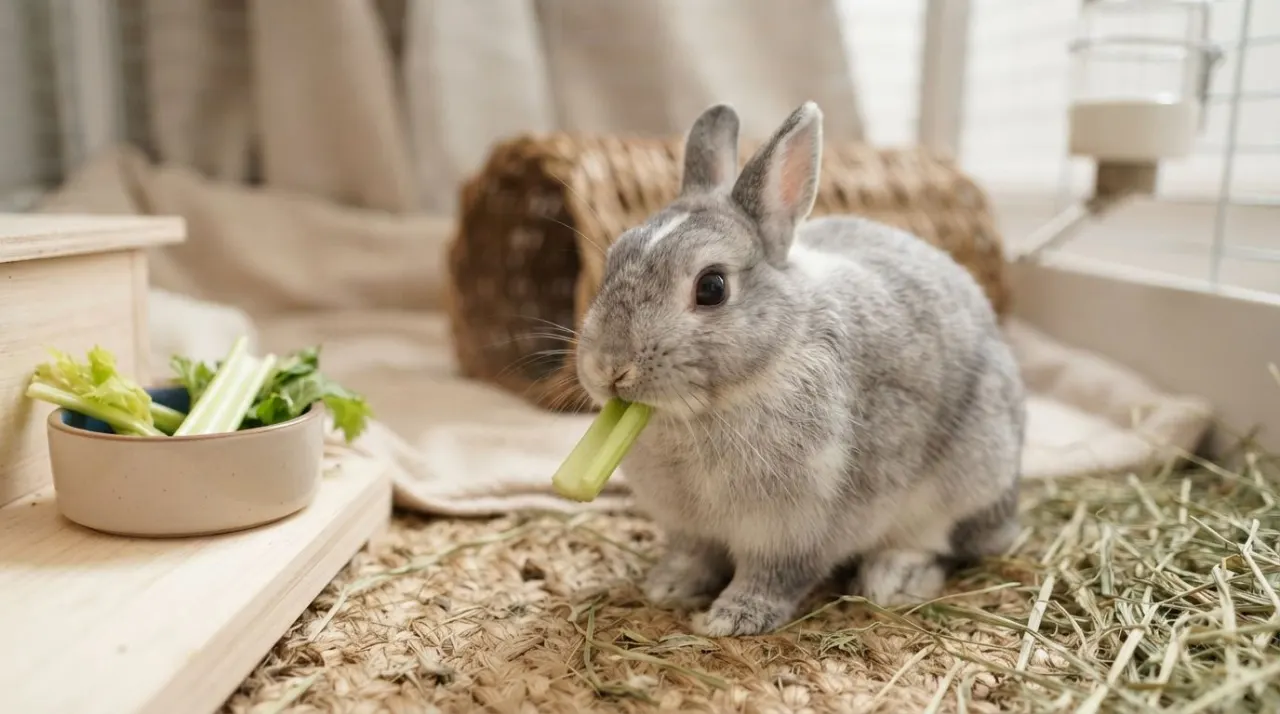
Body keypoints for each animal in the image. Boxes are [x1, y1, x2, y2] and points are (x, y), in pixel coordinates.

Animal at [573, 101, 1025, 637]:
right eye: (613, 259)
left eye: (712, 287)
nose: (609, 367)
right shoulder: (690, 528)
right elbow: (693, 556)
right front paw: (667, 587)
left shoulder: (795, 529)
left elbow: (774, 577)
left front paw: (732, 619)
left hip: (968, 481)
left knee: (942, 543)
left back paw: (894, 578)